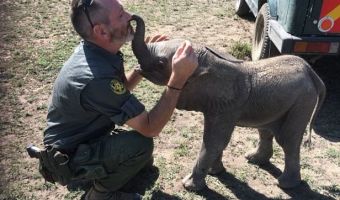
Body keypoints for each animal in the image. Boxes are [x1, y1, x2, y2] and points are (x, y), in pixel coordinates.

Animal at [129, 14, 324, 190]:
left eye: (161, 64)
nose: (132, 17)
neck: (209, 61)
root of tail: (311, 72)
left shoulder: (226, 107)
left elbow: (214, 141)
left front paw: (189, 186)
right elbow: (217, 141)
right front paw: (216, 172)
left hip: (302, 103)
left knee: (287, 141)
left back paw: (284, 184)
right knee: (266, 131)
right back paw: (253, 159)